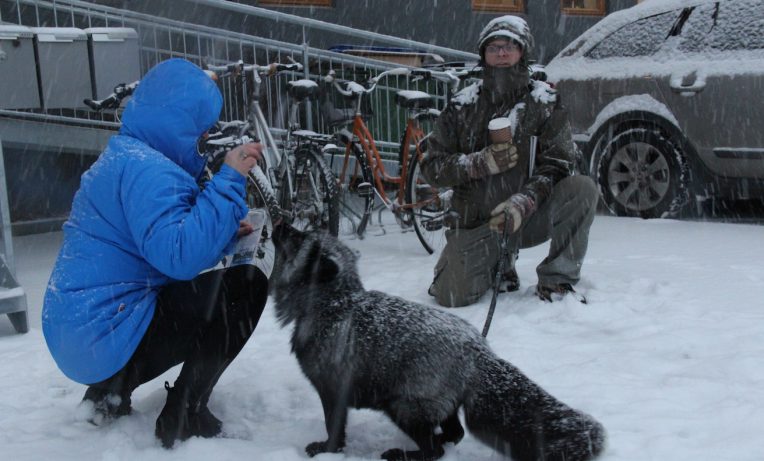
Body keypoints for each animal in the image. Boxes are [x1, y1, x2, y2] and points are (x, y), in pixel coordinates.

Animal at [272, 224, 604, 460]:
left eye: (298, 239)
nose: (279, 222)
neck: (335, 303)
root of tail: (479, 350)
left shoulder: (333, 390)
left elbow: (334, 430)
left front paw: (327, 451)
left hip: (402, 406)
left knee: (435, 451)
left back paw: (403, 454)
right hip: (436, 406)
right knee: (454, 434)